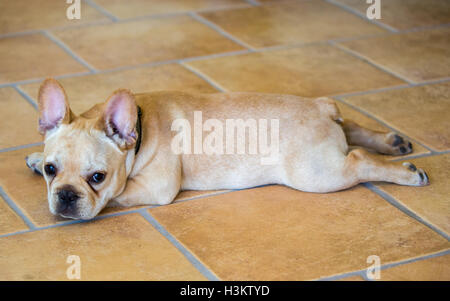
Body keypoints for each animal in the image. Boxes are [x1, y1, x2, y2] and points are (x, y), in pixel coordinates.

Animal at [25, 77, 428, 218]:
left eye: (98, 177)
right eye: (51, 170)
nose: (64, 196)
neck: (139, 131)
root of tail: (321, 107)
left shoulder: (155, 187)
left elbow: (118, 194)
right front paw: (34, 156)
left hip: (317, 174)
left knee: (358, 158)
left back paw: (407, 173)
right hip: (332, 141)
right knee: (353, 128)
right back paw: (392, 141)